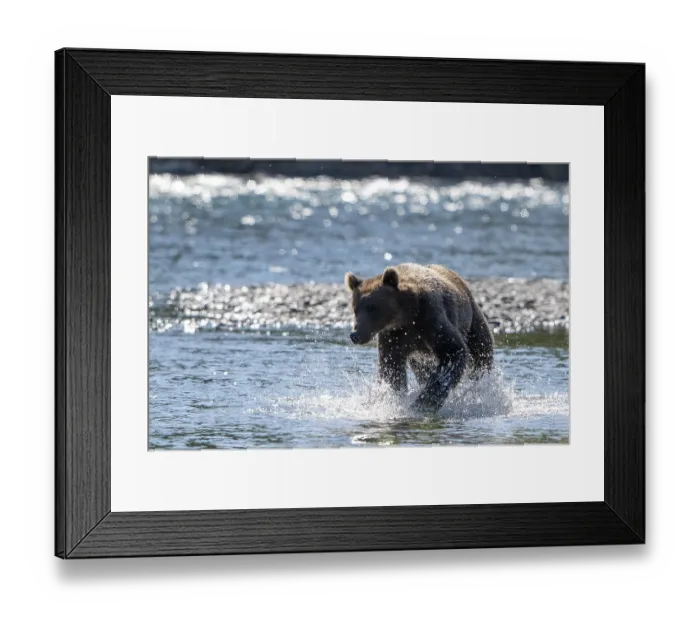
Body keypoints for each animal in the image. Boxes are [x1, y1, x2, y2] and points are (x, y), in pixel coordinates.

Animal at [344, 263, 494, 413]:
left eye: (372, 308)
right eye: (355, 309)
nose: (355, 335)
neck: (404, 314)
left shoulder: (429, 318)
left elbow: (453, 350)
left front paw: (423, 402)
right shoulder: (393, 335)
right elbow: (392, 366)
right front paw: (395, 399)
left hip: (472, 319)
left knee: (480, 351)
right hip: (419, 357)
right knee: (423, 370)